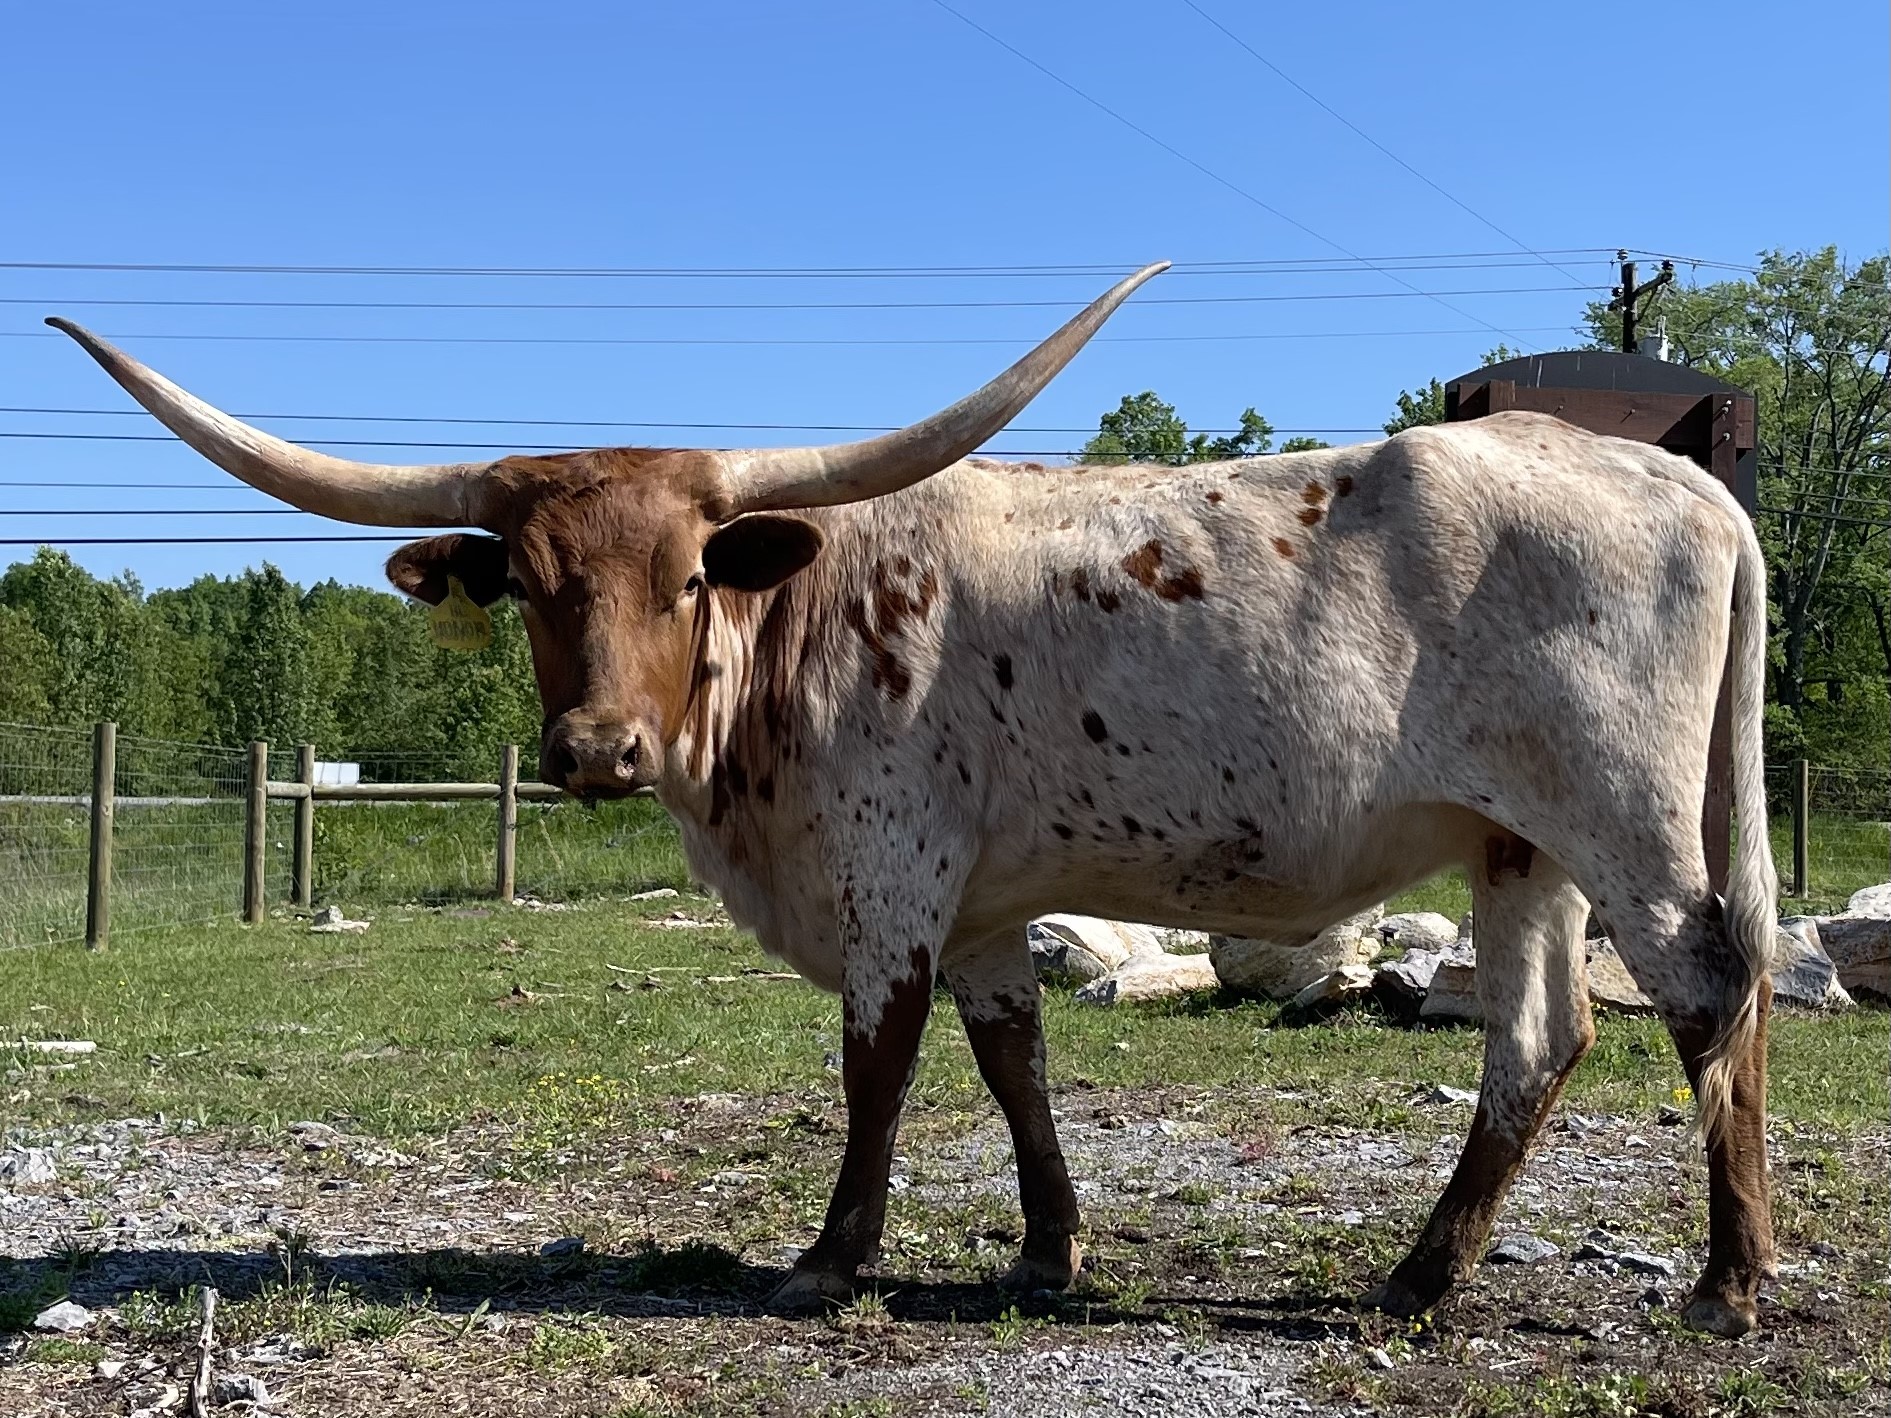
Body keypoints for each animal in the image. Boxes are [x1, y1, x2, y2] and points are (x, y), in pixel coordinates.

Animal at [49, 265, 1778, 1337]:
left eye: (687, 575)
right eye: (532, 588)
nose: (598, 750)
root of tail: (1686, 483)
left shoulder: (888, 873)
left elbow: (874, 1060)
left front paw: (832, 1255)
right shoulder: (990, 901)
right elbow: (1013, 1059)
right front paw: (1047, 1248)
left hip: (1622, 814)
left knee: (1704, 987)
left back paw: (1723, 1280)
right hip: (1516, 842)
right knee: (1539, 1037)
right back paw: (1421, 1275)